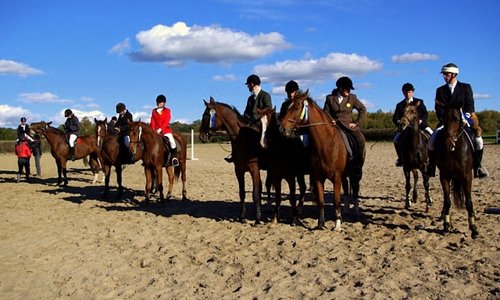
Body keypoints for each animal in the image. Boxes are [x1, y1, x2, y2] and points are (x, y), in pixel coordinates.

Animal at [282, 91, 364, 230]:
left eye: (296, 108)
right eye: (287, 107)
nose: (282, 127)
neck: (326, 143)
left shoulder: (336, 177)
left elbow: (336, 200)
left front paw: (337, 225)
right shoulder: (318, 176)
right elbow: (320, 200)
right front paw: (320, 223)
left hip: (356, 173)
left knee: (355, 188)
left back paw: (356, 211)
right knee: (347, 188)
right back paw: (346, 210)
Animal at [436, 105, 478, 239]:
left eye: (457, 119)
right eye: (443, 119)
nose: (449, 144)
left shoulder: (467, 177)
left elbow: (469, 202)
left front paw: (473, 228)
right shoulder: (444, 176)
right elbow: (447, 201)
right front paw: (446, 225)